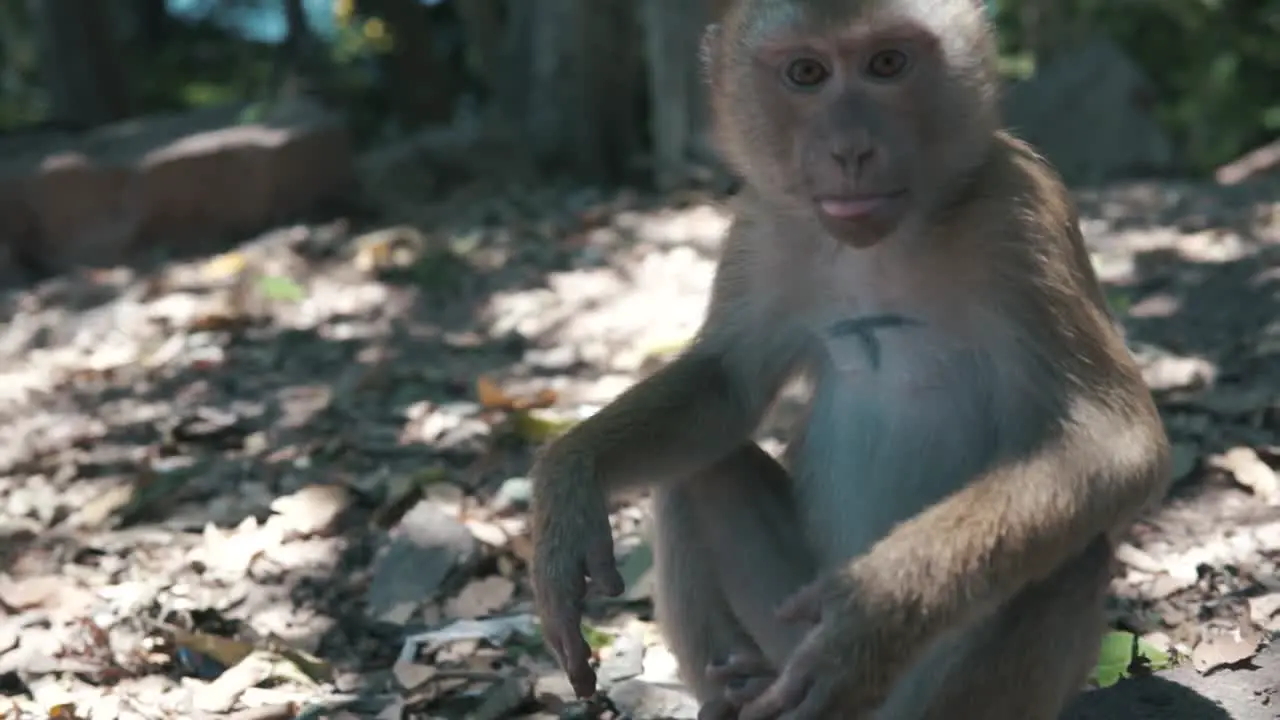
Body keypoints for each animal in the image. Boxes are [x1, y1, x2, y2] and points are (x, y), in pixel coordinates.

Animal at [527, 0, 1172, 712]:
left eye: (887, 63)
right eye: (807, 73)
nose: (850, 150)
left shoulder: (1023, 218)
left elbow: (1112, 439)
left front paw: (873, 613)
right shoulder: (764, 228)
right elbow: (725, 385)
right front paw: (570, 478)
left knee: (1068, 564)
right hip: (786, 635)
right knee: (697, 472)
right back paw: (735, 694)